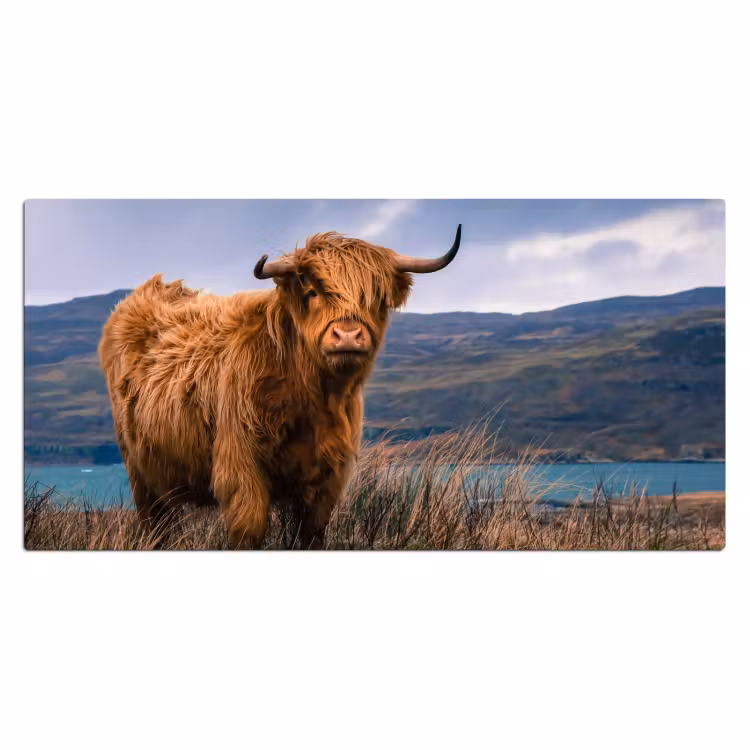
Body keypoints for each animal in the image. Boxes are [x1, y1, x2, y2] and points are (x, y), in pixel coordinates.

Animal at [98, 225, 462, 549]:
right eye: (313, 292)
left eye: (375, 298)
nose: (347, 336)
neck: (312, 399)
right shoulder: (241, 470)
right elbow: (248, 534)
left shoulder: (328, 479)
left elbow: (312, 536)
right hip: (140, 472)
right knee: (155, 525)